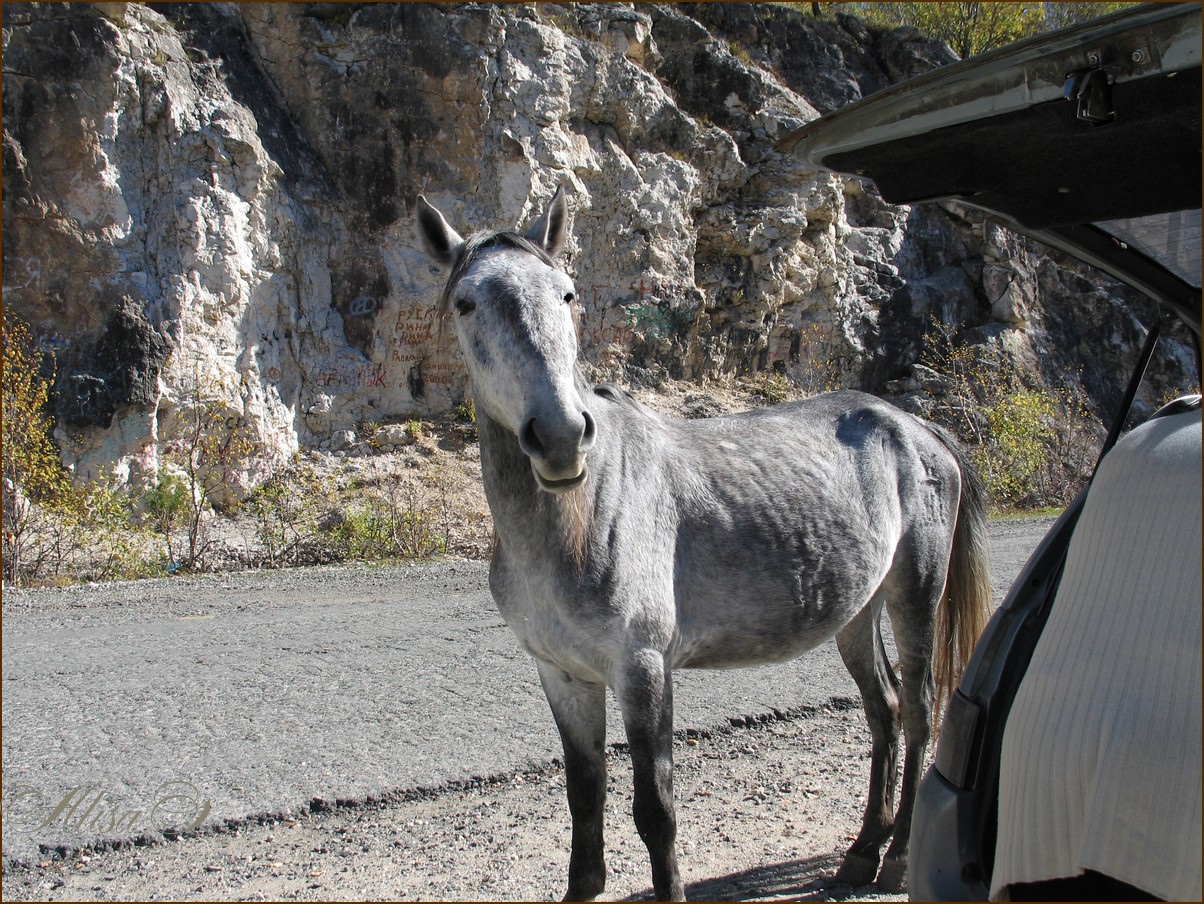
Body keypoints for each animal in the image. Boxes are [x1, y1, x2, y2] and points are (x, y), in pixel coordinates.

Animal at [418, 187, 992, 900]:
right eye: (467, 303)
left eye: (567, 293)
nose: (560, 437)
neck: (575, 521)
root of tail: (914, 426)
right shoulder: (562, 674)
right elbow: (584, 792)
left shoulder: (642, 669)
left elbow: (655, 809)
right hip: (856, 613)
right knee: (883, 710)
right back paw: (862, 853)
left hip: (914, 593)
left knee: (917, 709)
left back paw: (898, 859)